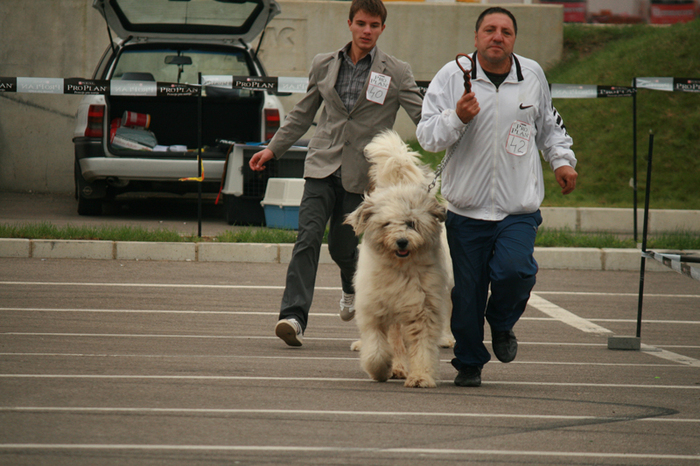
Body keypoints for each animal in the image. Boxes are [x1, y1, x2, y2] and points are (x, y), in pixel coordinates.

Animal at [346, 129, 454, 388]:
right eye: (386, 224)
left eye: (411, 223)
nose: (402, 242)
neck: (400, 269)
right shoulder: (376, 309)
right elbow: (378, 346)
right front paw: (380, 369)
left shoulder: (423, 308)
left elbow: (422, 345)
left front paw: (421, 376)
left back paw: (446, 339)